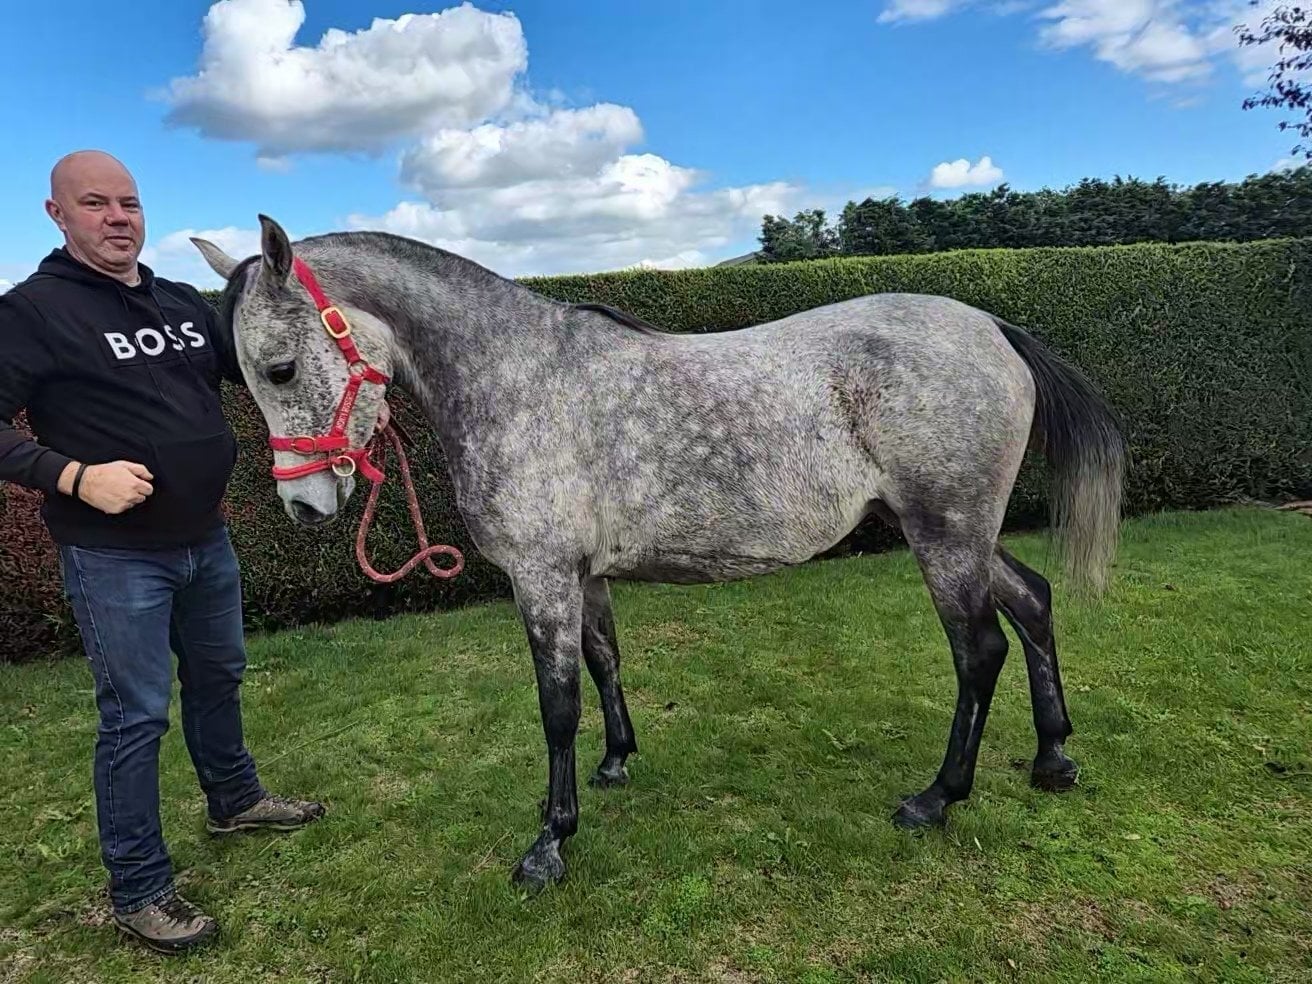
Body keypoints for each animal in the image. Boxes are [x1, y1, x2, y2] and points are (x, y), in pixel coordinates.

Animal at [192, 216, 1125, 891]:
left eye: (280, 368)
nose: (305, 505)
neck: (517, 377)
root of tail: (992, 326)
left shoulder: (541, 579)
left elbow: (556, 704)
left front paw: (549, 844)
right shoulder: (583, 577)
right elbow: (605, 662)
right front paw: (613, 764)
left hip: (945, 535)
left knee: (980, 650)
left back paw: (937, 798)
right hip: (964, 535)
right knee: (1034, 602)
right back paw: (1053, 758)